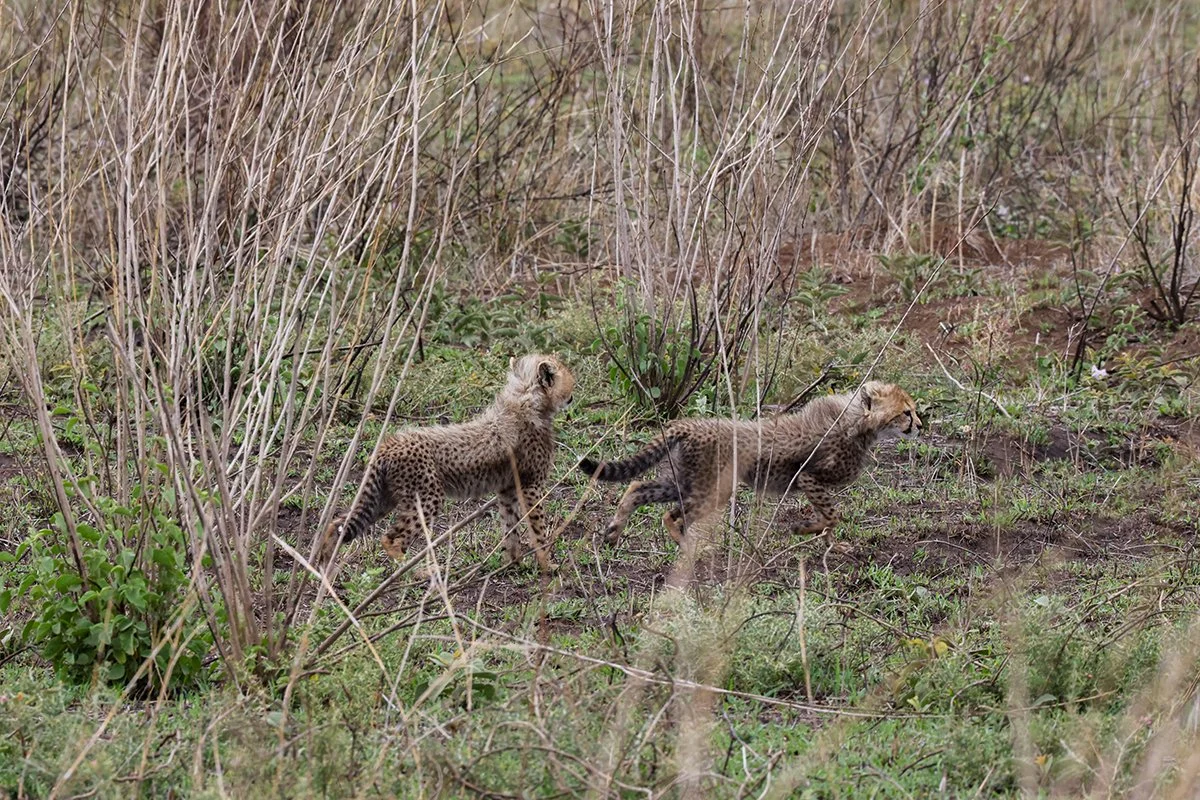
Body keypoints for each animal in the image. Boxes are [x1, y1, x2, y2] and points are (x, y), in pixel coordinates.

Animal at [320, 354, 575, 572]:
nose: (573, 391)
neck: (527, 399)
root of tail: (389, 443)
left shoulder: (508, 488)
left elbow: (510, 527)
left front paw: (513, 563)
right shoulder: (531, 486)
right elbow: (537, 530)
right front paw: (547, 565)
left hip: (384, 497)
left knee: (339, 523)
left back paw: (323, 563)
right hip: (427, 496)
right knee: (392, 539)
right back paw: (418, 572)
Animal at [579, 381, 921, 548]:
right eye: (906, 412)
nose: (920, 425)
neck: (857, 421)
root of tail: (689, 424)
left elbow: (831, 519)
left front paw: (831, 547)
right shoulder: (808, 478)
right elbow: (832, 515)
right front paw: (804, 529)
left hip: (684, 480)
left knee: (638, 488)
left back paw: (614, 531)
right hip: (711, 487)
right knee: (672, 515)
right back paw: (688, 546)